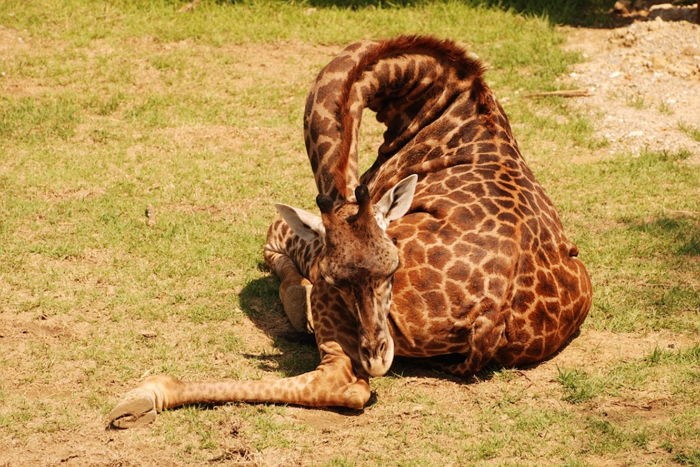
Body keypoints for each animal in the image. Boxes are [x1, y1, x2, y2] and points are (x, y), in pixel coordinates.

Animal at [108, 34, 592, 430]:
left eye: (394, 269)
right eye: (341, 278)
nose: (377, 356)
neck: (441, 106)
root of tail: (492, 315)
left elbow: (277, 229)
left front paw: (294, 296)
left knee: (341, 383)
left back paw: (143, 397)